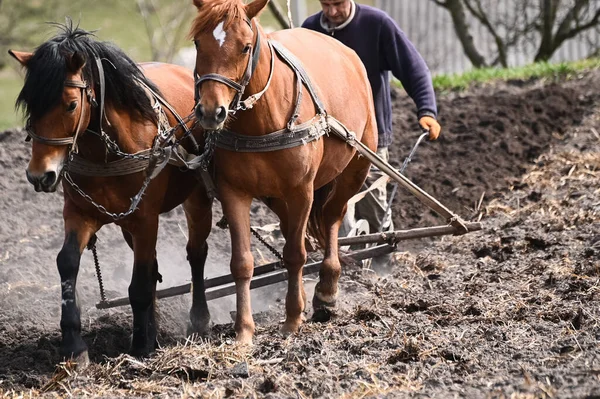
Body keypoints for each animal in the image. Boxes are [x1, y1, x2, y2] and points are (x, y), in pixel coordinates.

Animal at [9, 23, 213, 364]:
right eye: (30, 105)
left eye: (71, 104)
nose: (40, 175)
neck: (107, 151)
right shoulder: (79, 213)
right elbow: (67, 263)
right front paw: (74, 345)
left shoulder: (146, 218)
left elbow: (140, 283)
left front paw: (141, 347)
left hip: (196, 198)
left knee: (196, 254)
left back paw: (198, 321)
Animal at [190, 0, 378, 344]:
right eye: (198, 43)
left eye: (245, 47)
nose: (211, 111)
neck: (263, 121)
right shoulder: (233, 192)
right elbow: (242, 262)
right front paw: (244, 331)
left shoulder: (301, 191)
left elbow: (295, 254)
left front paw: (291, 320)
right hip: (275, 195)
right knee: (295, 226)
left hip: (355, 168)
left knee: (332, 217)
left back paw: (326, 291)